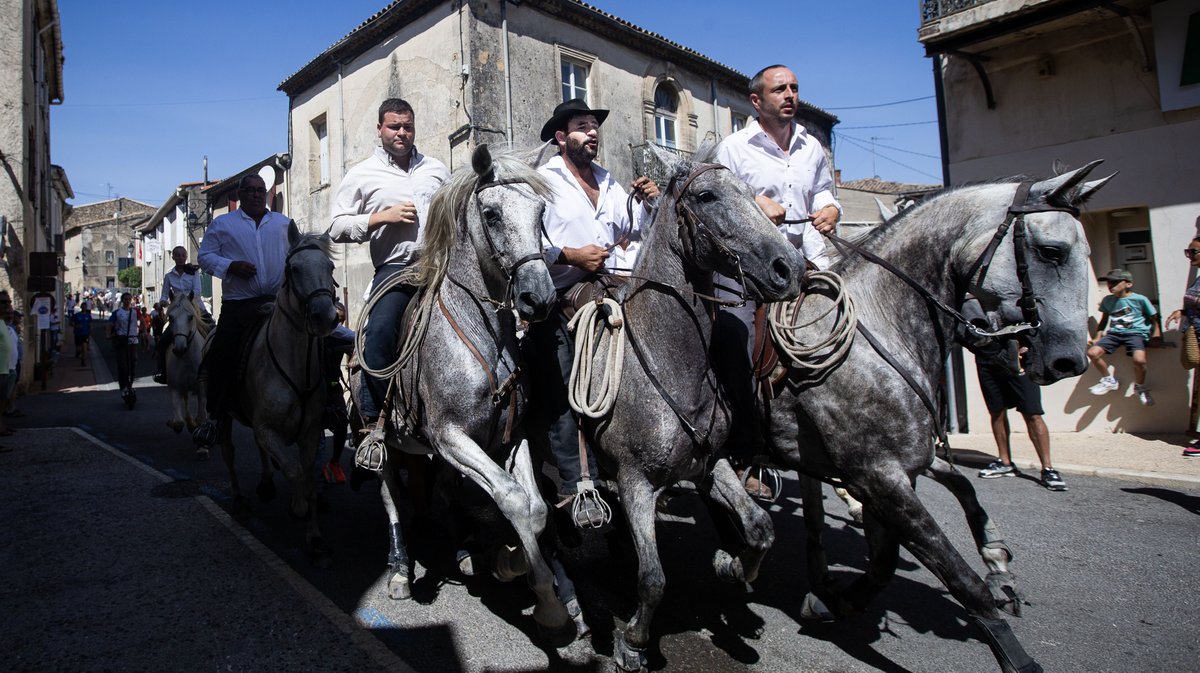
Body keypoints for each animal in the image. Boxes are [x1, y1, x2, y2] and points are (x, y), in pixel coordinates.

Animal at [219, 224, 338, 561]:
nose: (325, 317)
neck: (295, 365)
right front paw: (296, 507)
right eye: (294, 269)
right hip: (223, 414)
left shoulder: (309, 432)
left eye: (330, 267)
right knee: (229, 453)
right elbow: (295, 472)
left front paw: (314, 537)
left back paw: (266, 484)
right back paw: (239, 499)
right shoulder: (266, 428)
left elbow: (308, 477)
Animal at [360, 144, 571, 638]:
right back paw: (400, 571)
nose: (539, 299)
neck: (483, 335)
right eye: (491, 214)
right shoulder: (451, 438)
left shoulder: (511, 436)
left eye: (540, 212)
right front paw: (521, 571)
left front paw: (529, 578)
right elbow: (511, 498)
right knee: (390, 496)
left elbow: (535, 507)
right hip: (385, 442)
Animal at [571, 146, 806, 671]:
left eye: (750, 191)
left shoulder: (709, 465)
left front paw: (730, 565)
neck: (669, 363)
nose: (789, 267)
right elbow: (654, 579)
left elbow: (760, 528)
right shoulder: (635, 481)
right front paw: (633, 642)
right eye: (707, 196)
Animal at [763, 161, 1108, 671]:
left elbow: (924, 523)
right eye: (1052, 251)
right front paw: (1014, 651)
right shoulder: (878, 475)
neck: (875, 328)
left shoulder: (904, 462)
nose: (1070, 361)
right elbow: (955, 573)